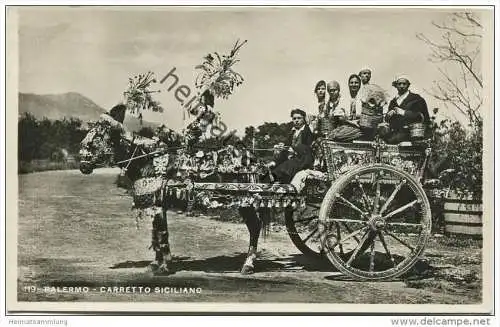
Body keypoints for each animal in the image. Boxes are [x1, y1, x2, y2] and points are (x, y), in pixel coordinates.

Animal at [78, 104, 266, 274]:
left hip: (246, 202)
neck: (146, 161)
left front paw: (164, 266)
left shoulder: (158, 205)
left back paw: (248, 264)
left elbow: (161, 234)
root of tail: (253, 158)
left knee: (255, 227)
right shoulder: (156, 204)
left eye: (97, 136)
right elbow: (156, 233)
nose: (83, 166)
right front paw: (156, 263)